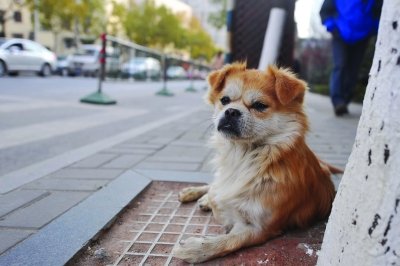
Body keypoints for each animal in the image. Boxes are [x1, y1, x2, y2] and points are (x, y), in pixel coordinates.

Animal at [172, 62, 340, 264]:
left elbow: (229, 241)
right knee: (213, 185)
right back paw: (195, 193)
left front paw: (196, 249)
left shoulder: (260, 228)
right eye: (225, 100)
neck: (243, 157)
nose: (231, 111)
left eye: (260, 106)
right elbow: (218, 193)